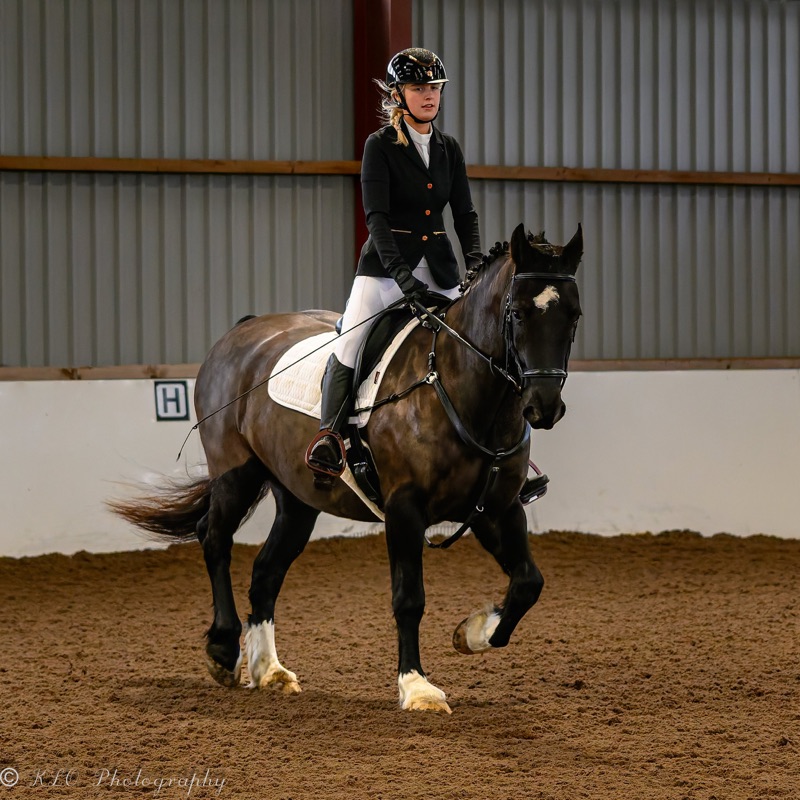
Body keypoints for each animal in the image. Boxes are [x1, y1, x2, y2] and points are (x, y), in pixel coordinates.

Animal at [110, 222, 583, 714]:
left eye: (574, 316)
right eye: (519, 314)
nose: (544, 407)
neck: (464, 393)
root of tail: (241, 332)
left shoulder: (497, 509)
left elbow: (529, 582)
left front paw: (472, 632)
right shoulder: (404, 509)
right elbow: (409, 598)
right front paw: (417, 687)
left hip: (297, 498)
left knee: (265, 572)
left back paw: (269, 669)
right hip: (234, 472)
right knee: (214, 537)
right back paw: (223, 650)